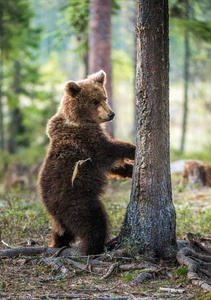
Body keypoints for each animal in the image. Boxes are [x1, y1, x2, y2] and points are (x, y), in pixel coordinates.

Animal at [38, 71, 136, 255]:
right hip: (78, 200)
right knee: (93, 223)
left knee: (62, 232)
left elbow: (112, 165)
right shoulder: (86, 140)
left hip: (63, 216)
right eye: (94, 101)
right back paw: (98, 247)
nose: (111, 114)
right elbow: (108, 150)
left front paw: (129, 170)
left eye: (104, 97)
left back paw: (57, 244)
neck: (77, 119)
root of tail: (50, 207)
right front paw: (133, 149)